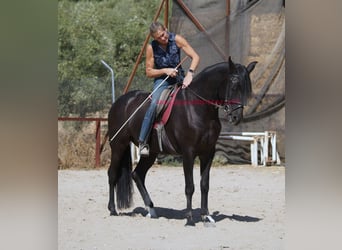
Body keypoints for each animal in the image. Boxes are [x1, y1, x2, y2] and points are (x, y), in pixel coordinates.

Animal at [107, 56, 256, 225]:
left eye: (247, 89)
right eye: (234, 85)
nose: (236, 117)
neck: (198, 108)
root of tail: (121, 101)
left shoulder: (208, 153)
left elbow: (204, 185)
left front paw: (205, 215)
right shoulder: (188, 153)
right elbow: (189, 186)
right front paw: (189, 218)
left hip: (151, 153)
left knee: (137, 174)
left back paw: (151, 209)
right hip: (118, 145)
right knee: (112, 174)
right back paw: (113, 209)